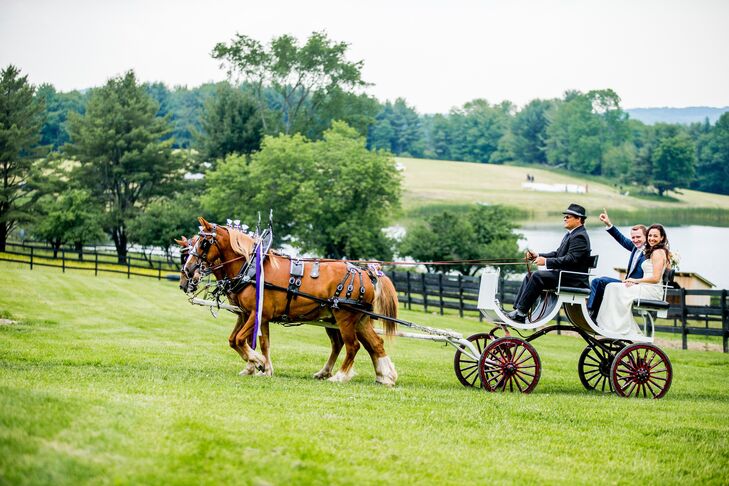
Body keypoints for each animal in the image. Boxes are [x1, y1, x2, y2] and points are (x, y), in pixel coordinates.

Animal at [180, 218, 400, 386]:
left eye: (204, 243)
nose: (188, 272)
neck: (251, 268)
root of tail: (366, 272)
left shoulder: (258, 313)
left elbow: (241, 340)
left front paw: (258, 363)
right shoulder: (248, 314)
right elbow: (249, 341)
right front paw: (260, 367)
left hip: (345, 318)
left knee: (352, 346)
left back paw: (340, 376)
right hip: (358, 319)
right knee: (375, 344)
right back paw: (384, 376)